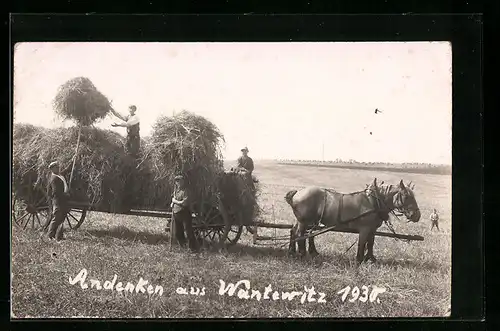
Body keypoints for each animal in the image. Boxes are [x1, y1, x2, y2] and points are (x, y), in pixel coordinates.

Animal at [284, 179, 420, 264]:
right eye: (406, 196)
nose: (417, 216)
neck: (373, 202)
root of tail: (297, 193)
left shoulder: (372, 230)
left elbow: (370, 244)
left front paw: (371, 259)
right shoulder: (364, 229)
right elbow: (362, 243)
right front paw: (359, 260)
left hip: (306, 221)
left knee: (295, 231)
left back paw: (293, 251)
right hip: (304, 221)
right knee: (300, 234)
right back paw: (302, 254)